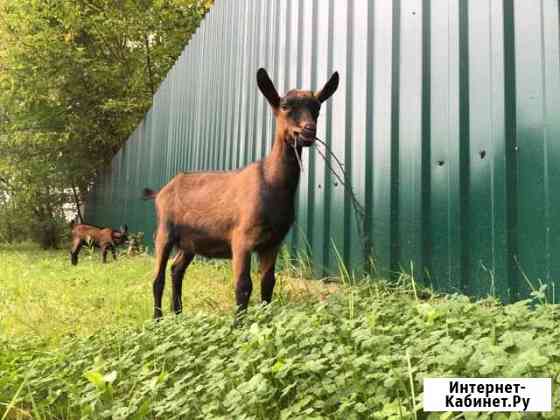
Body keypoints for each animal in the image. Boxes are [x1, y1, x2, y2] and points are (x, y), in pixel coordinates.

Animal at [143, 68, 336, 318]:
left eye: (317, 107)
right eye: (284, 106)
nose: (308, 131)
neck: (271, 183)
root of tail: (160, 191)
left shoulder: (272, 242)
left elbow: (268, 283)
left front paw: (264, 320)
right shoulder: (241, 238)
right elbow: (243, 285)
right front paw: (238, 323)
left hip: (190, 241)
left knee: (177, 269)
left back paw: (178, 313)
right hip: (164, 231)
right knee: (158, 278)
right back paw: (158, 319)